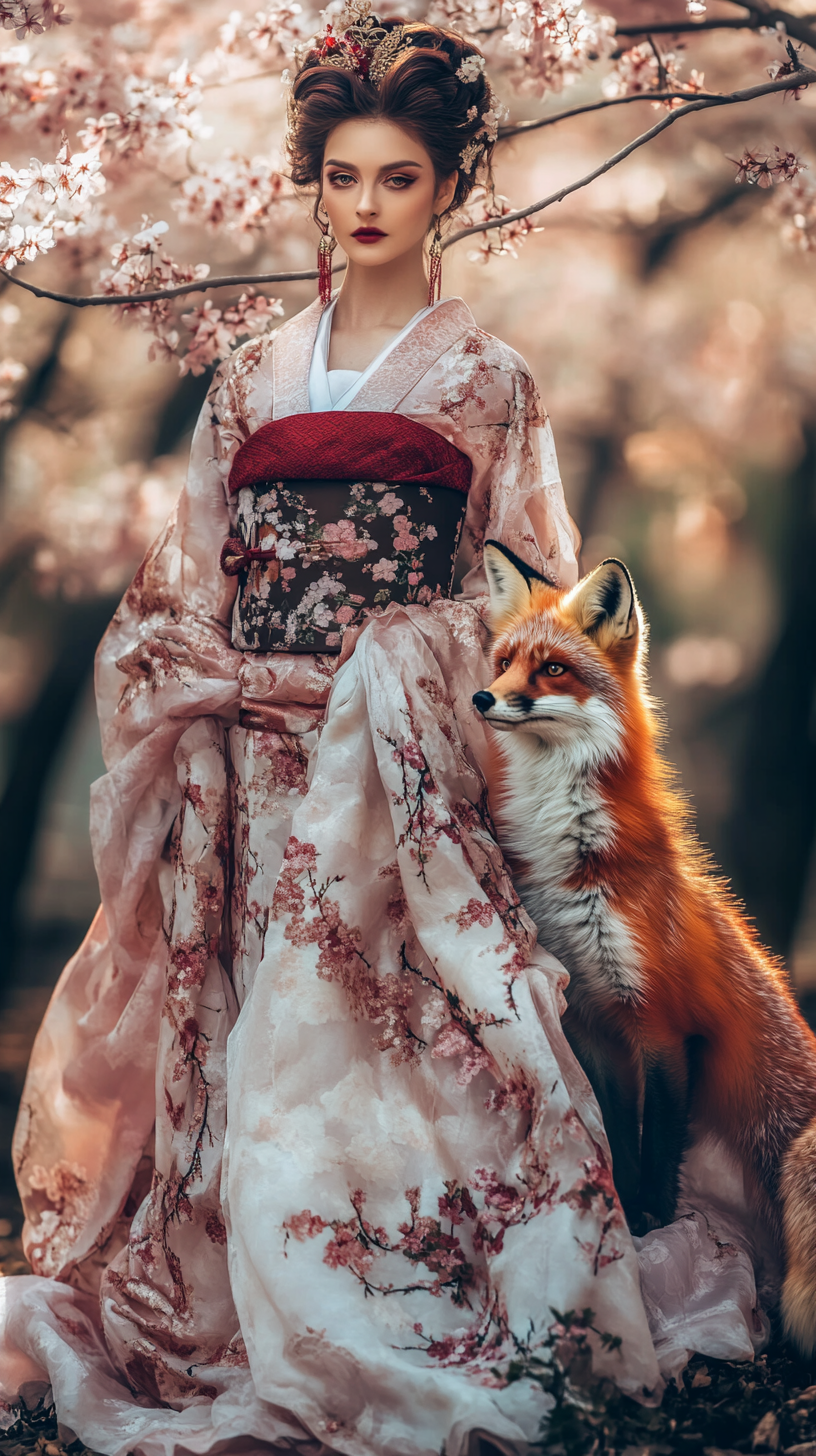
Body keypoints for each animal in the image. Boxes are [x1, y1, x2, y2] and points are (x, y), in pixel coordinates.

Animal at [472, 541, 816, 1356]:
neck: (581, 864)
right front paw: (625, 1212)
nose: (482, 699)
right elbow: (617, 1135)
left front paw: (655, 1227)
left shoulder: (661, 1022)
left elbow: (659, 1137)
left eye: (552, 669)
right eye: (503, 661)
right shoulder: (595, 1023)